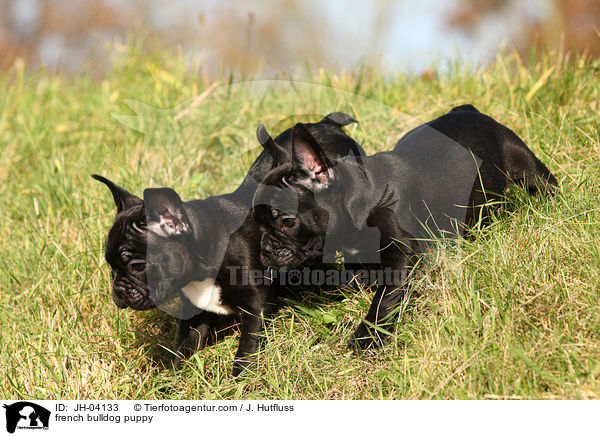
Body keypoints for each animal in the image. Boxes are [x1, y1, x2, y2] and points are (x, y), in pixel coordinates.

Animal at [94, 112, 366, 374]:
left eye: (137, 266)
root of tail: (324, 122)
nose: (118, 290)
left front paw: (240, 378)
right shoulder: (195, 315)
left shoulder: (256, 307)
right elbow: (185, 347)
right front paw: (170, 378)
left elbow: (247, 346)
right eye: (111, 267)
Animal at [253, 104, 556, 350]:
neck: (358, 199)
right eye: (258, 224)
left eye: (287, 222)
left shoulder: (402, 256)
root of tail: (466, 110)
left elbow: (385, 298)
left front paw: (367, 336)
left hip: (520, 159)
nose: (265, 248)